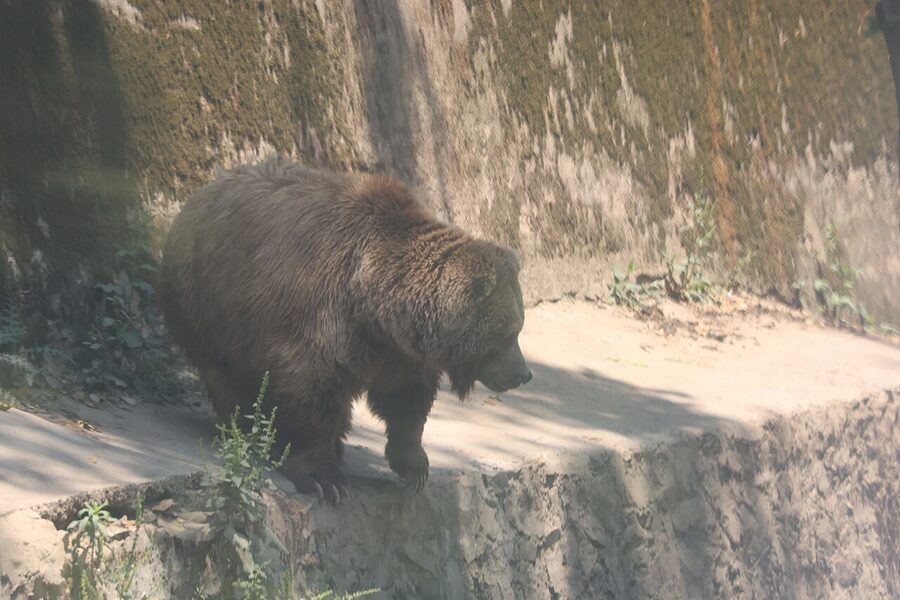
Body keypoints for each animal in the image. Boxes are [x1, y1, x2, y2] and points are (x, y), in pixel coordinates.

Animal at [157, 157, 532, 503]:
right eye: (509, 334)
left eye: (518, 328)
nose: (524, 373)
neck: (375, 305)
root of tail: (200, 193)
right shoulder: (321, 316)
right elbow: (311, 388)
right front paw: (324, 478)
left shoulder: (398, 351)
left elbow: (406, 400)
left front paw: (414, 466)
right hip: (211, 308)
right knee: (226, 377)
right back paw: (251, 429)